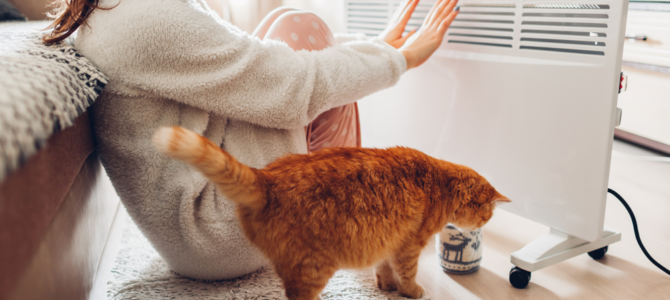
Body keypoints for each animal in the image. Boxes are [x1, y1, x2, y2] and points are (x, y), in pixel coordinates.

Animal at [152, 125, 510, 298]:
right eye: (487, 215)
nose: (484, 225)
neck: (438, 182)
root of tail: (267, 177)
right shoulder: (409, 246)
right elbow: (407, 274)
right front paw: (410, 291)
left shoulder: (390, 241)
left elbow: (384, 269)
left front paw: (387, 287)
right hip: (314, 266)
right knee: (298, 296)